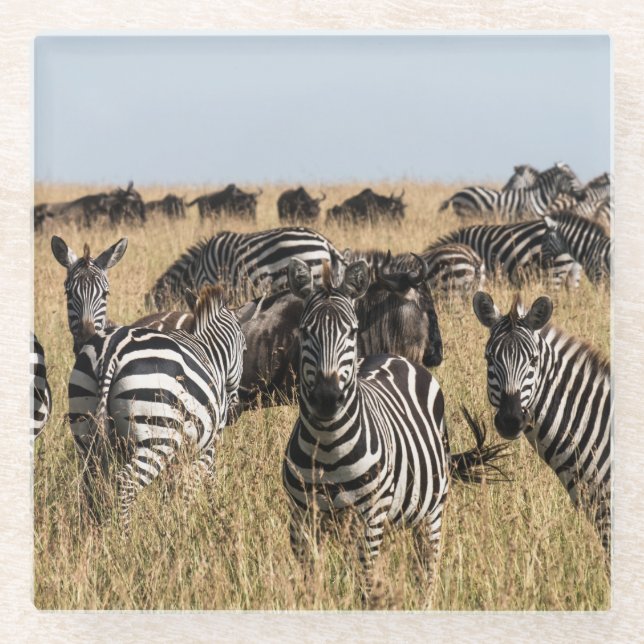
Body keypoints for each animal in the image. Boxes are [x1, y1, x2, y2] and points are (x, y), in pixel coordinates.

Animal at [68, 284, 246, 528]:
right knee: (126, 483)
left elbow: (171, 490)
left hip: (85, 430)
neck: (209, 352)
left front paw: (169, 521)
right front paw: (189, 521)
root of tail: (112, 349)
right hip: (157, 436)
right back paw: (124, 534)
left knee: (91, 485)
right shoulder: (207, 445)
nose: (235, 409)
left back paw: (94, 532)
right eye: (244, 349)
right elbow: (195, 484)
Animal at [283, 258, 508, 599]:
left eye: (352, 331)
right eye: (306, 331)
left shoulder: (370, 518)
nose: (327, 398)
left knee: (426, 570)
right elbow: (311, 587)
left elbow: (365, 586)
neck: (327, 444)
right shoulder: (302, 520)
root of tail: (395, 357)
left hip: (430, 513)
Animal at [439, 164, 580, 221]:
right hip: (465, 215)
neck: (536, 196)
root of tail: (456, 194)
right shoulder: (526, 217)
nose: (503, 189)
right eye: (572, 178)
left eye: (511, 180)